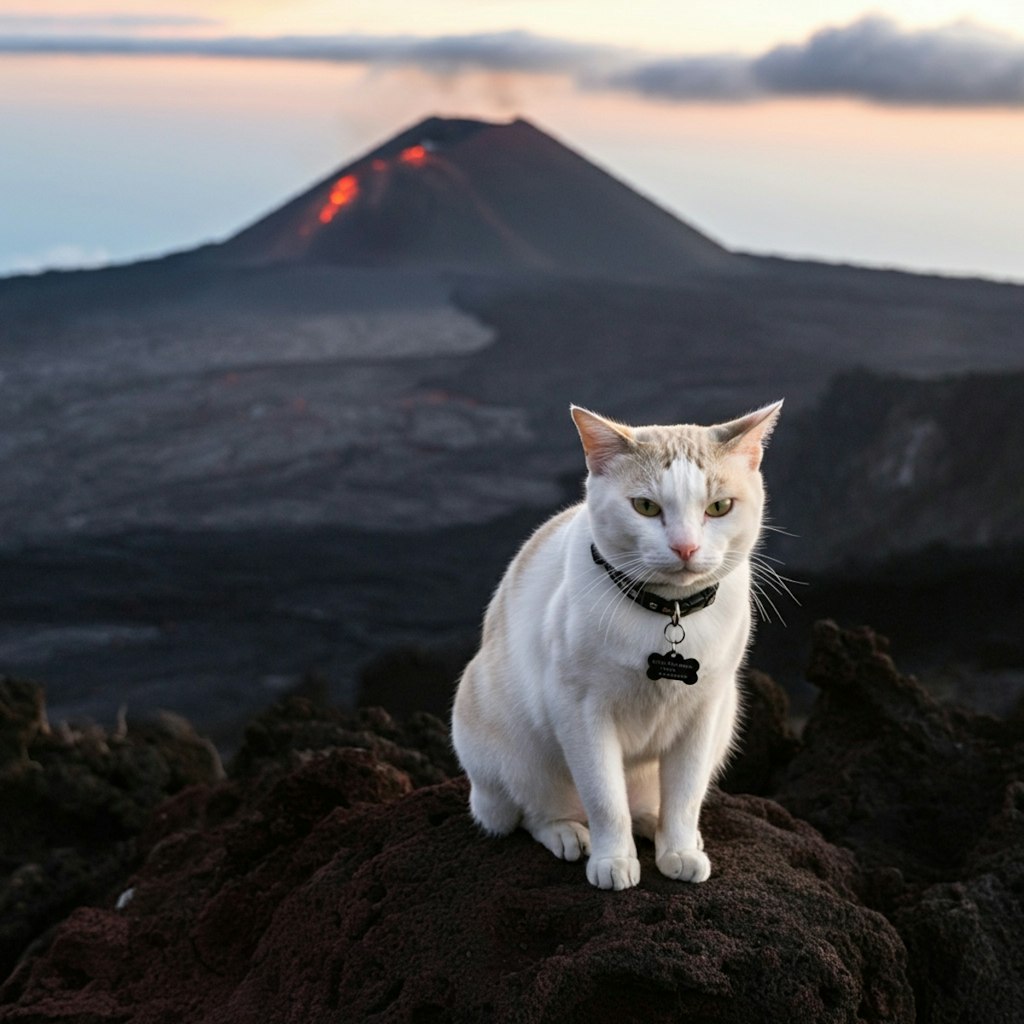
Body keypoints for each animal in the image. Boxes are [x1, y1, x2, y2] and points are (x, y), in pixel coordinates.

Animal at [452, 399, 778, 888]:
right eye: (645, 506)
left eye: (719, 507)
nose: (685, 547)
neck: (667, 611)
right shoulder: (581, 711)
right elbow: (605, 799)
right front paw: (613, 860)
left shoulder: (705, 713)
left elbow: (685, 795)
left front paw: (678, 848)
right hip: (510, 754)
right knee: (532, 811)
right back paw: (568, 833)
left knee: (649, 801)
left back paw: (654, 825)